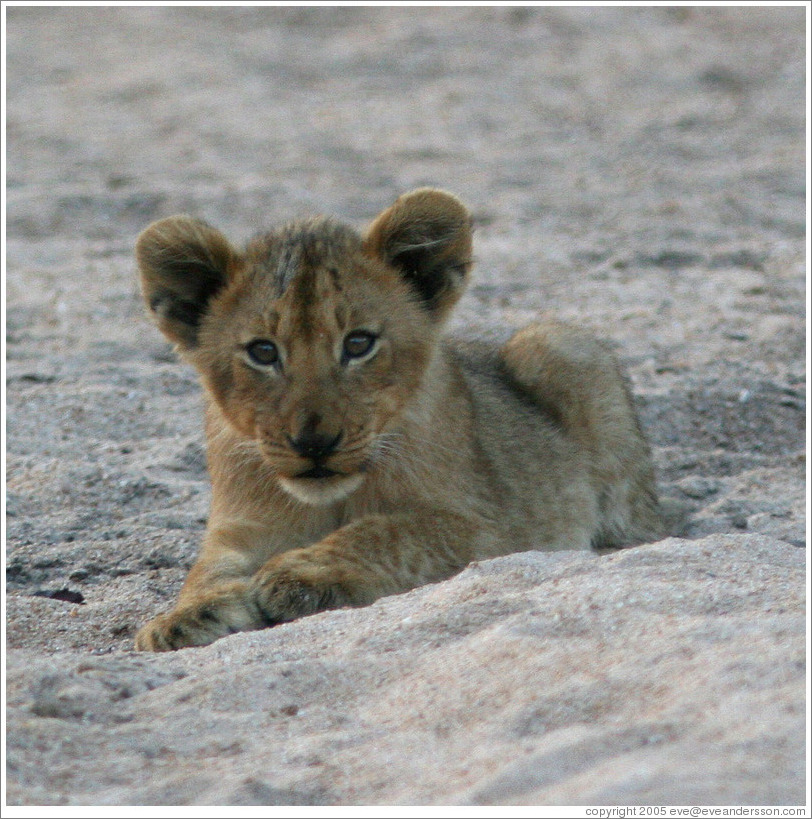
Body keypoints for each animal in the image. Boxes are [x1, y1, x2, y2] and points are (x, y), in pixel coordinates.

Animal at [133, 188, 663, 651]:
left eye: (358, 343)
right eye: (263, 352)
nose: (315, 443)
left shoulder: (487, 527)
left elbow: (385, 532)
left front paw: (302, 573)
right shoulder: (243, 526)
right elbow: (207, 568)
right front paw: (183, 615)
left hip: (558, 348)